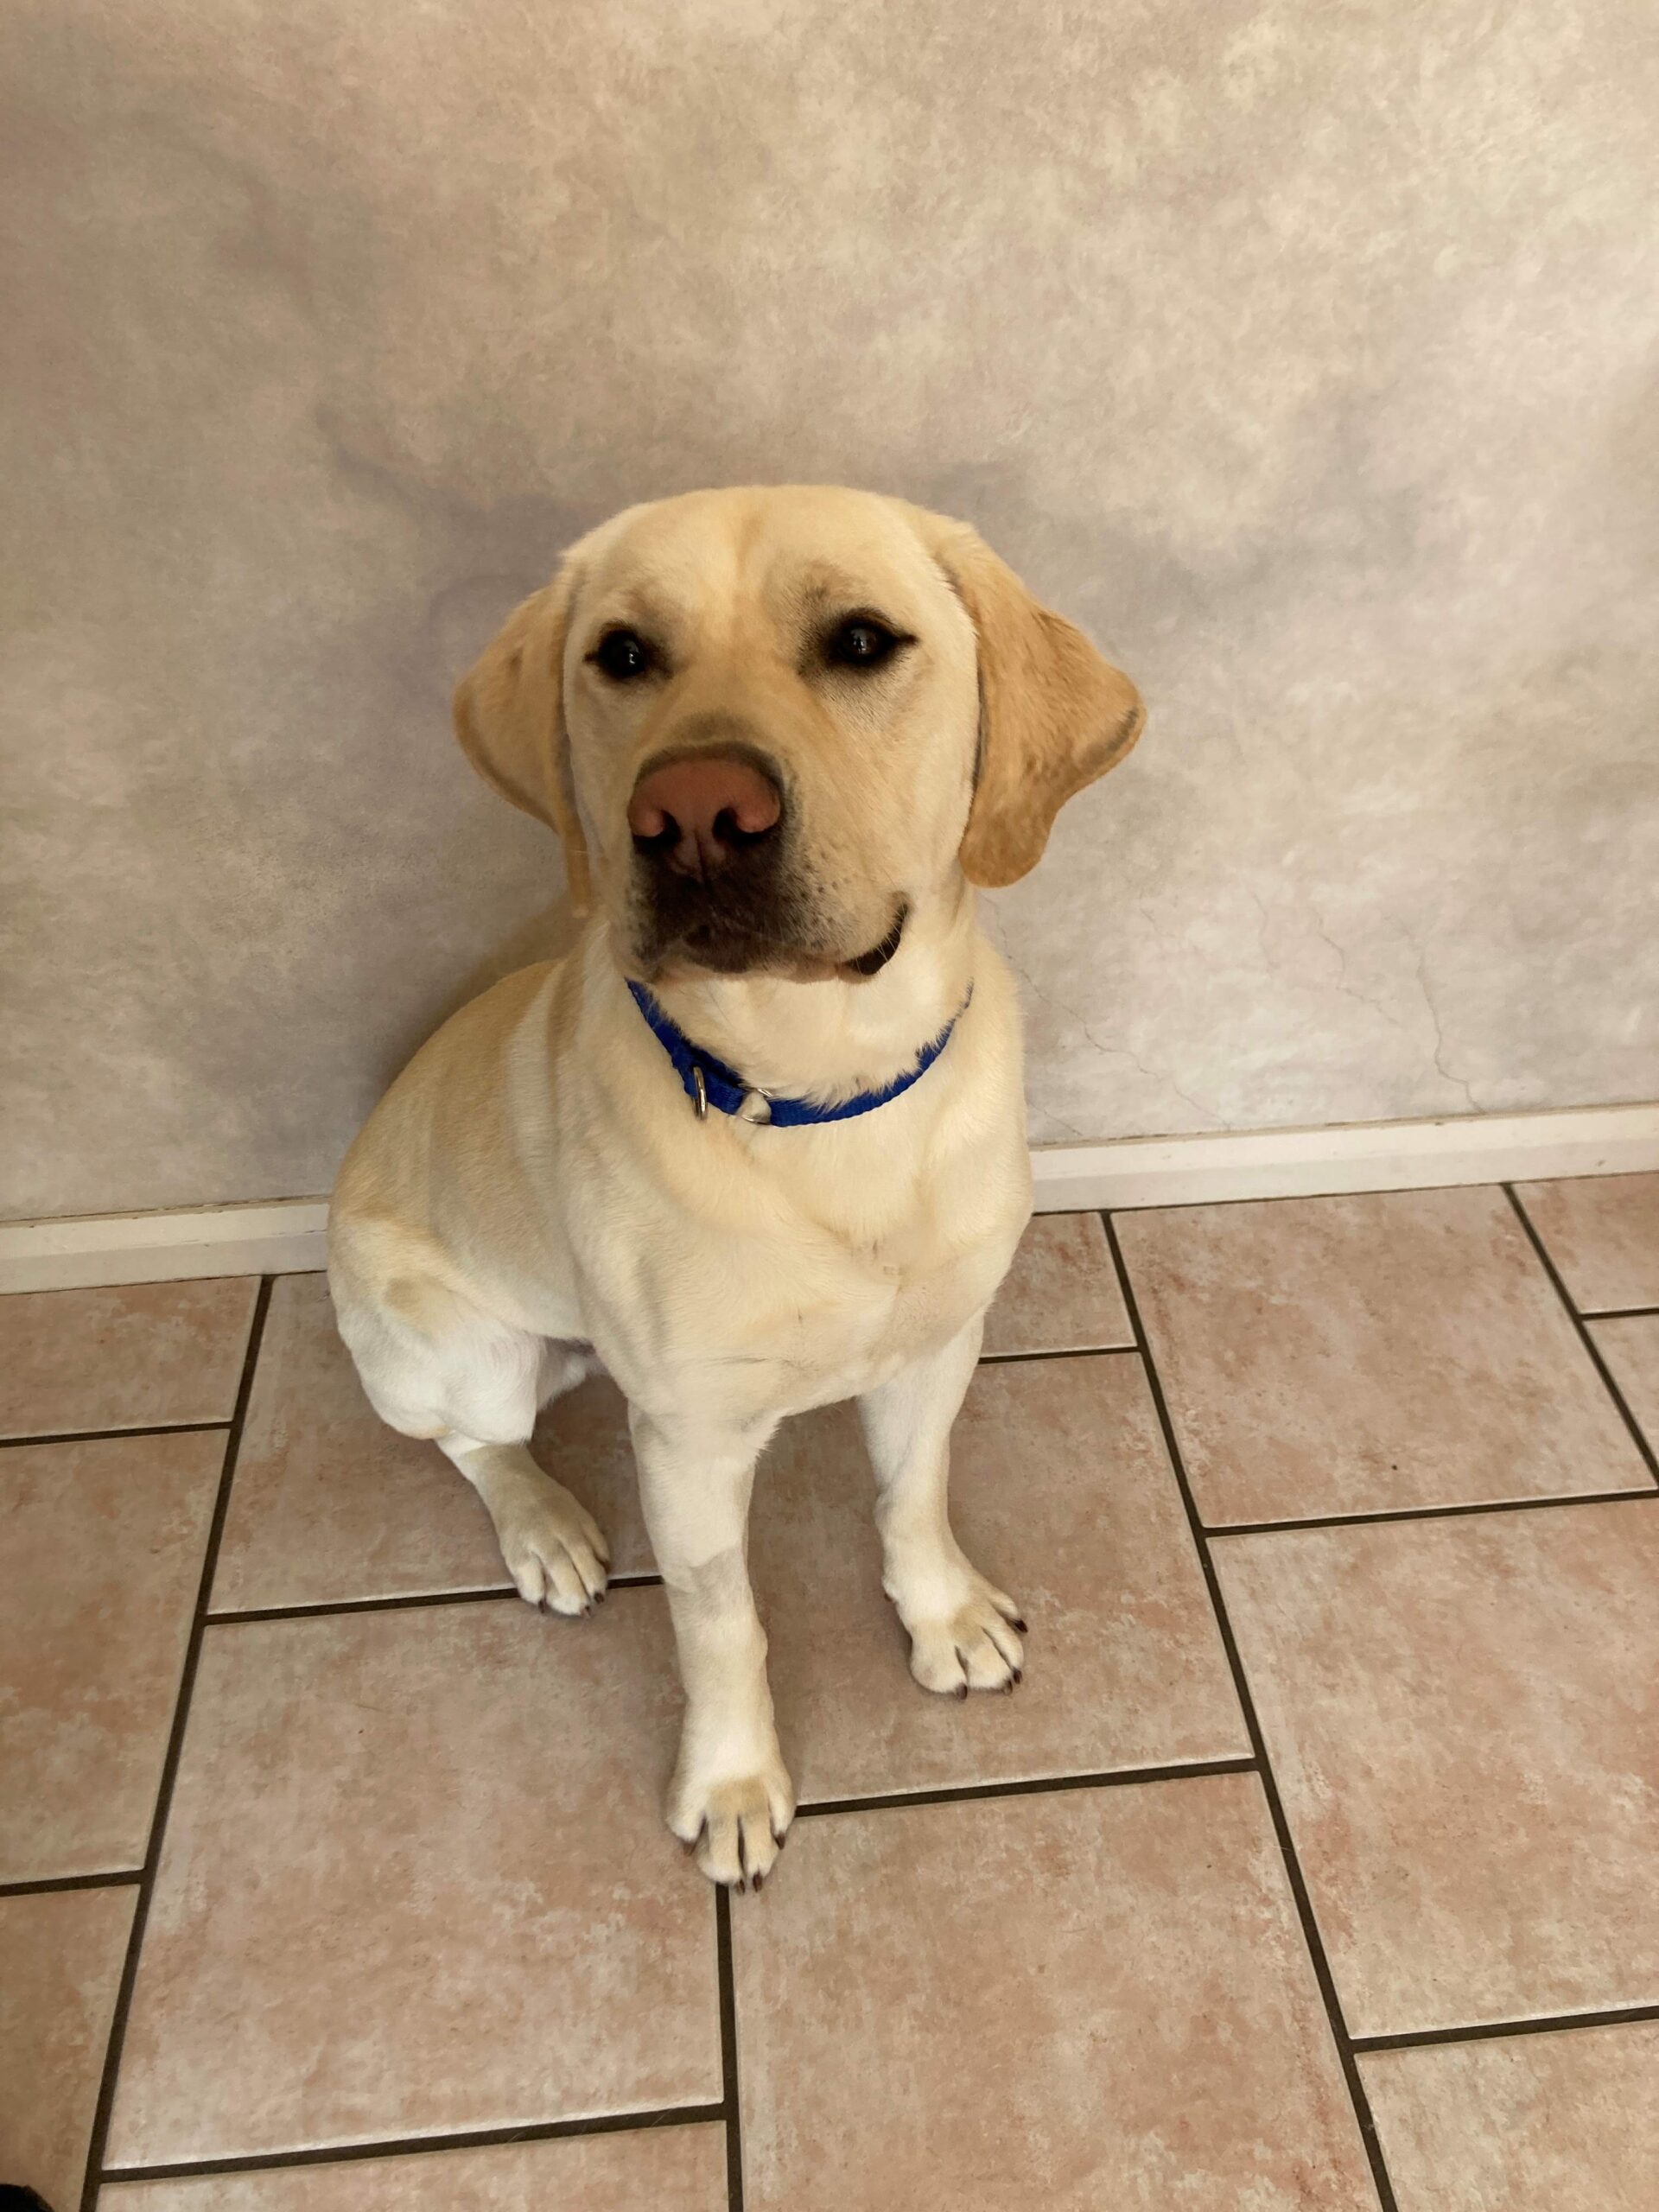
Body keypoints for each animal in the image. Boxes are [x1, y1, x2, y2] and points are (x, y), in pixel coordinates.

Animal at [334, 484, 1150, 1885]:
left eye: (863, 641)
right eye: (621, 655)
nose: (695, 814)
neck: (824, 1097)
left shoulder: (939, 1346)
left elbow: (912, 1495)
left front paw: (943, 1617)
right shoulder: (692, 1441)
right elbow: (722, 1626)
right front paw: (729, 1784)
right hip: (456, 1347)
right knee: (473, 1443)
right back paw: (546, 1528)